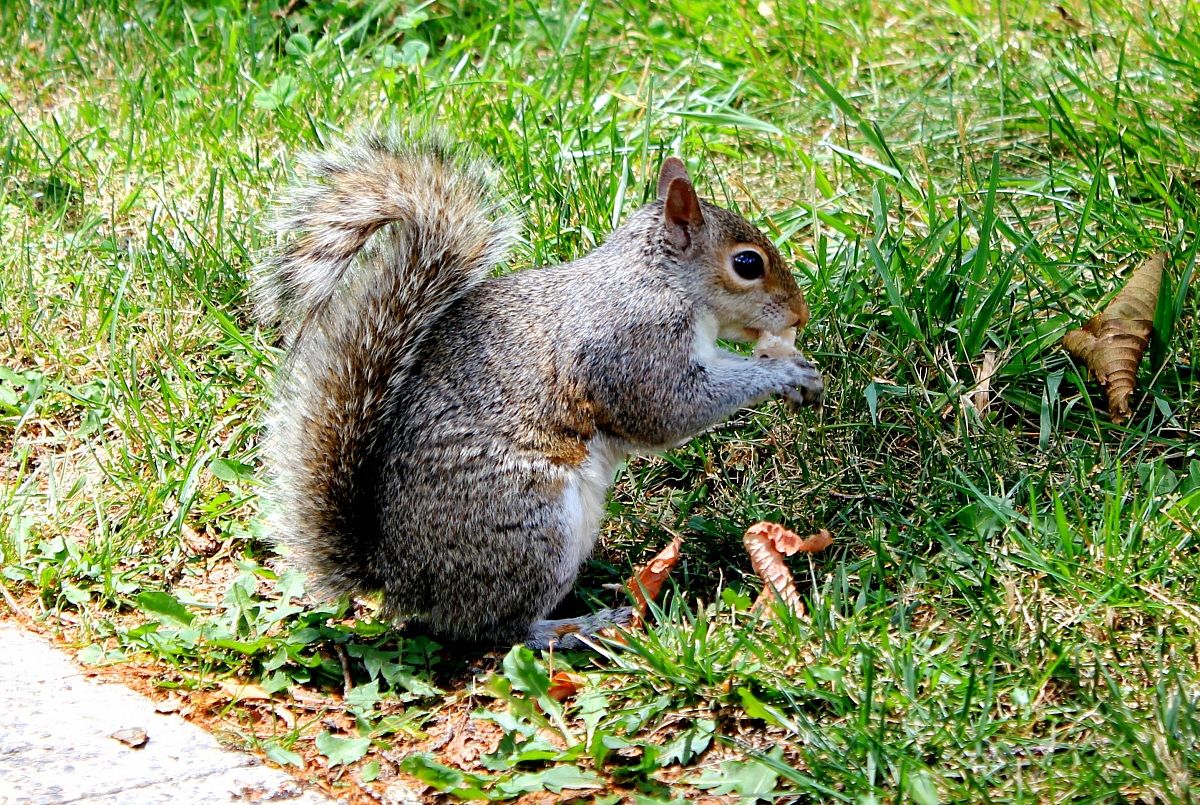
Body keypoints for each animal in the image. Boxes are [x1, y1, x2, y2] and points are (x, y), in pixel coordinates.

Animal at [253, 133, 823, 650]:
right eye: (747, 264)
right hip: (534, 527)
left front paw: (796, 366)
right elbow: (667, 411)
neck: (658, 280)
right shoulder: (632, 346)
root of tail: (399, 577)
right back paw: (582, 627)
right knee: (498, 631)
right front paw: (784, 375)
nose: (800, 316)